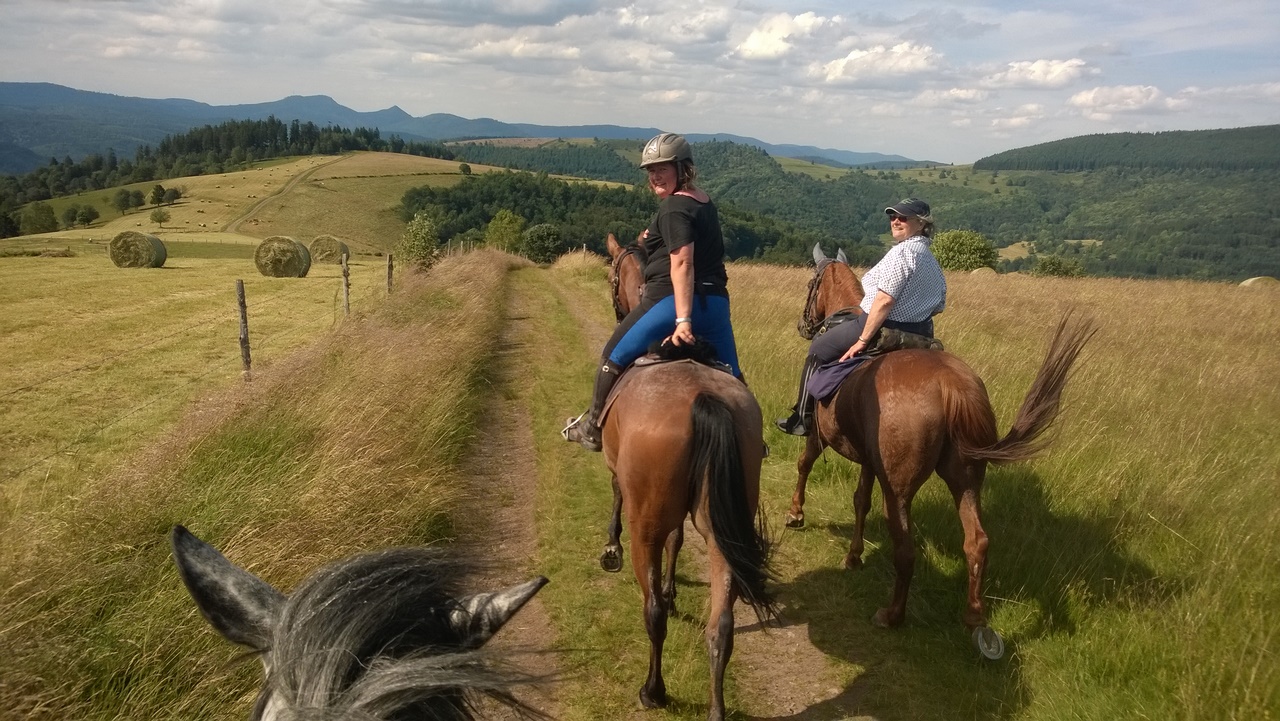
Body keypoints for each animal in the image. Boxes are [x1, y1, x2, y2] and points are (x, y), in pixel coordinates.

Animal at [595, 232, 776, 721]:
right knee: (721, 627)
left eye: (611, 274)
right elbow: (678, 540)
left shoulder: (622, 475)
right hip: (721, 530)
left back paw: (653, 690)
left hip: (647, 527)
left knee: (652, 612)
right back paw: (716, 706)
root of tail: (704, 398)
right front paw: (676, 588)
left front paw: (611, 549)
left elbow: (616, 497)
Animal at [787, 246, 1095, 657]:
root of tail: (952, 386)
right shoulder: (870, 461)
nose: (804, 325)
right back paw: (974, 618)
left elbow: (805, 465)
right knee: (977, 542)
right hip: (966, 479)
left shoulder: (820, 437)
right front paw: (853, 556)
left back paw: (892, 615)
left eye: (810, 284)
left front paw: (795, 514)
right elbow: (859, 501)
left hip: (900, 491)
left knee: (906, 550)